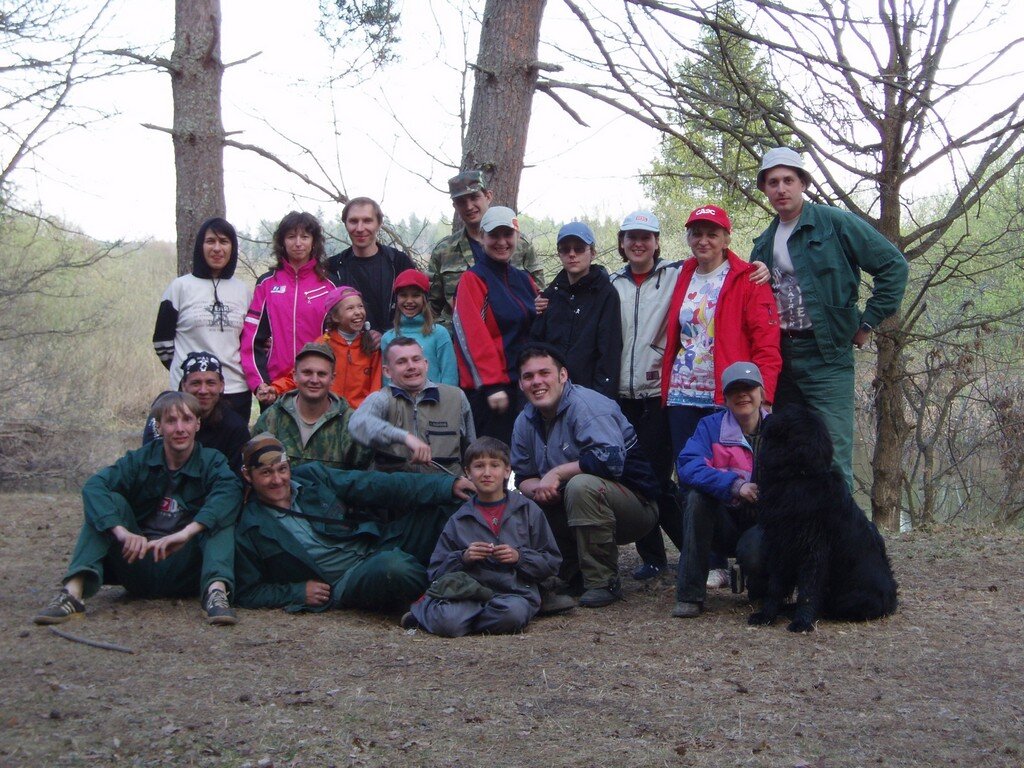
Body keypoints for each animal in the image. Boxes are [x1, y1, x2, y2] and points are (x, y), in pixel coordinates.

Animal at [745, 405, 897, 634]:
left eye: (786, 415)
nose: (766, 416)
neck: (799, 476)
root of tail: (892, 601)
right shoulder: (780, 545)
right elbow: (775, 586)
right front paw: (766, 615)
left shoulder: (813, 550)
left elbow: (808, 592)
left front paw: (802, 622)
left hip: (850, 598)